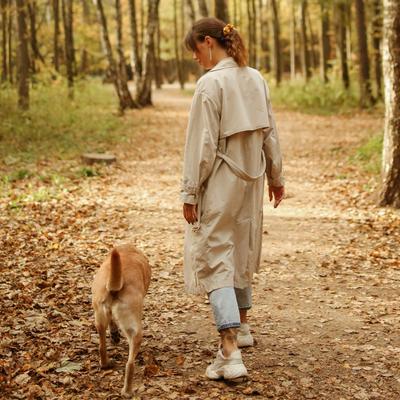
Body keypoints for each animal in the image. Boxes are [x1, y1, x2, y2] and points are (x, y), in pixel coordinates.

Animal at [91, 244, 151, 396]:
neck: (127, 251)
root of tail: (114, 287)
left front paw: (114, 335)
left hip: (99, 318)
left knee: (102, 346)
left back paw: (106, 364)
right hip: (135, 331)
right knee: (130, 364)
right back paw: (127, 391)